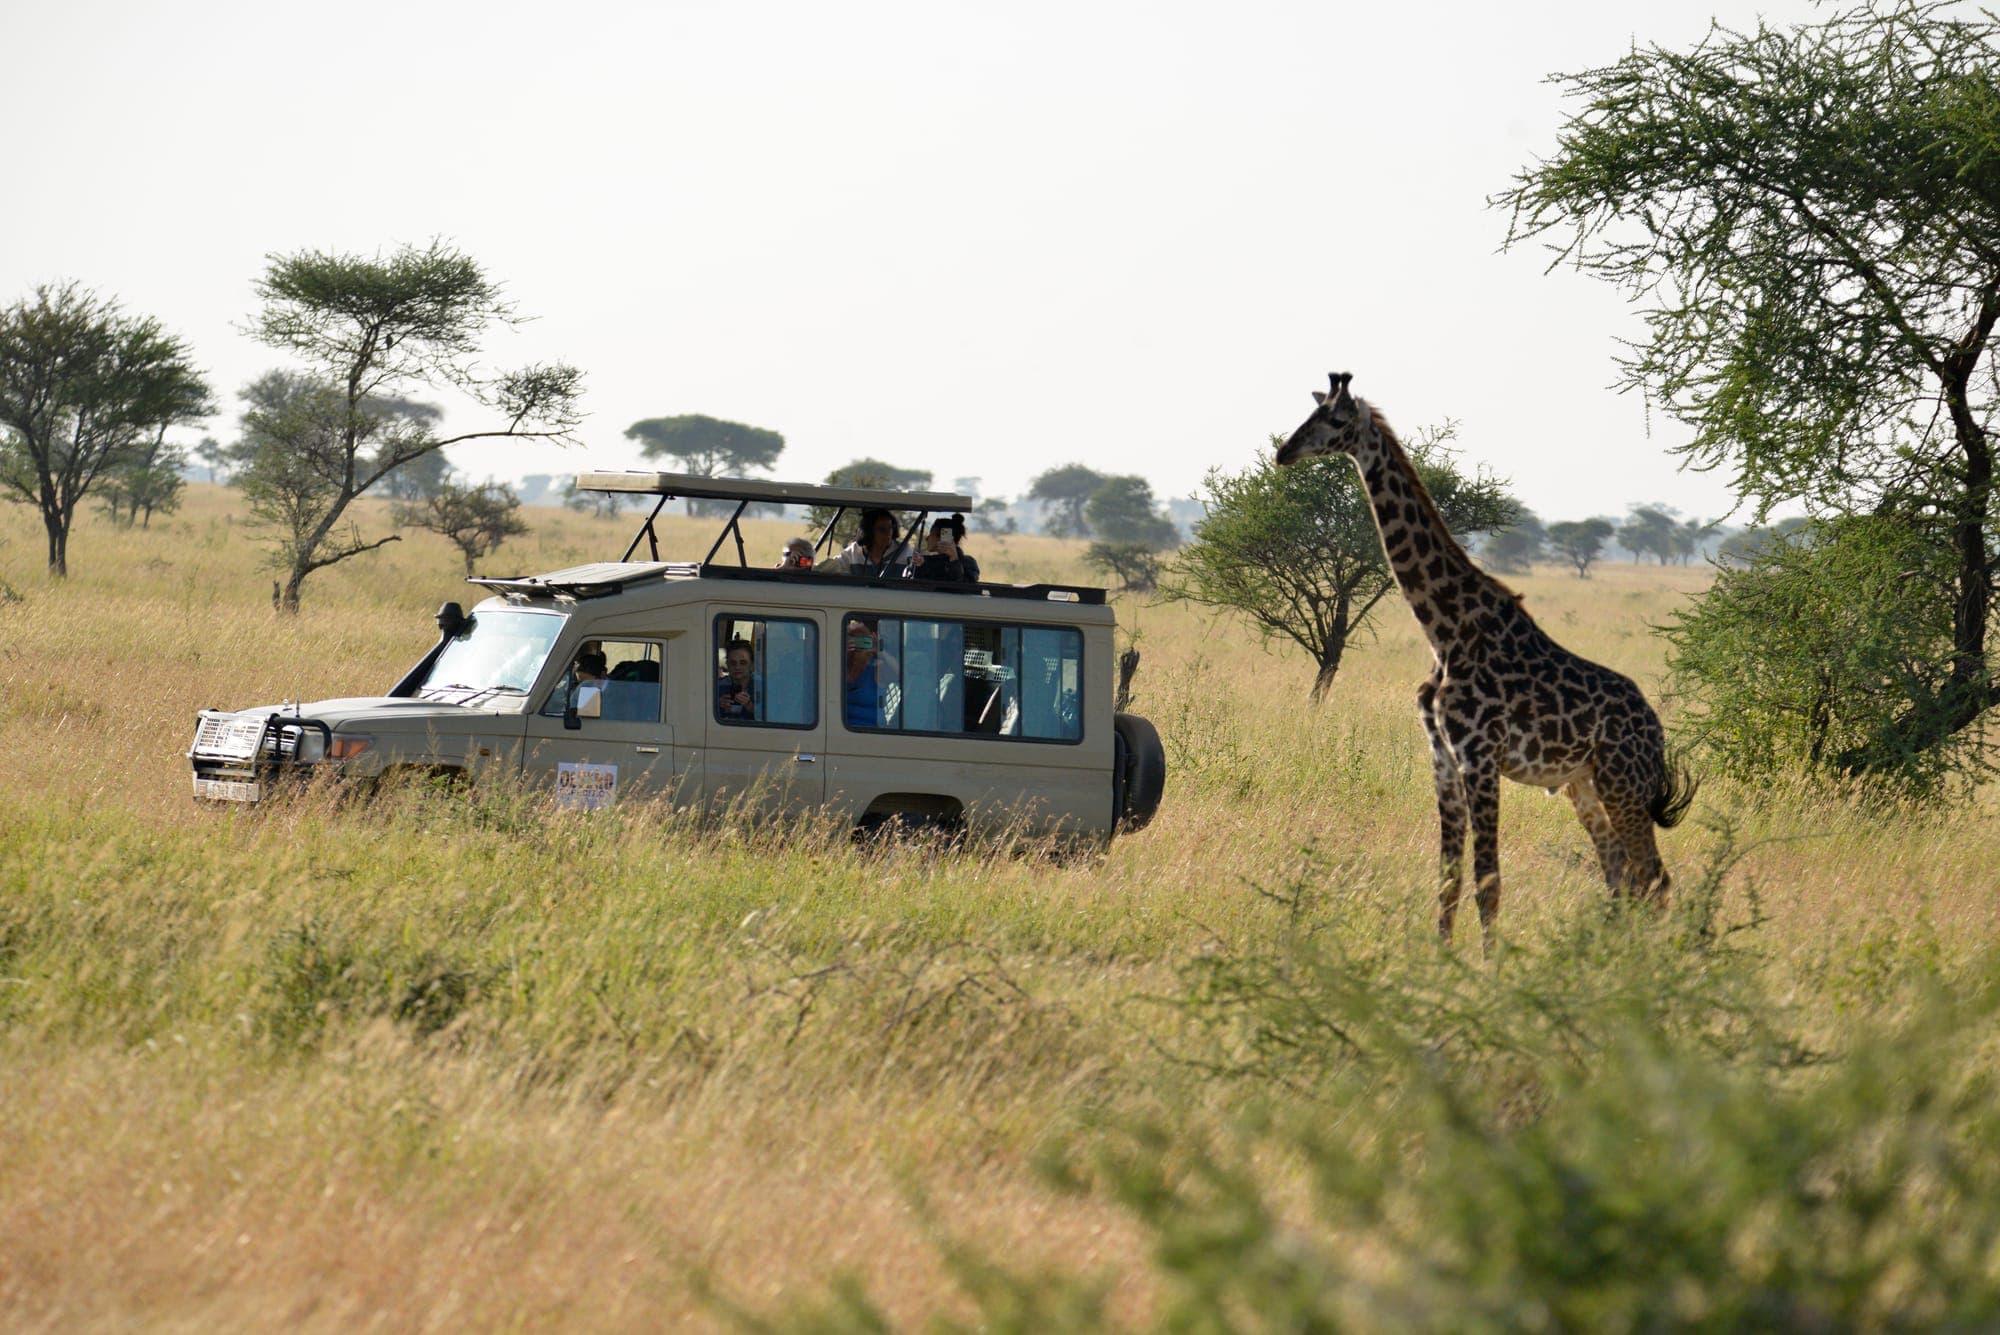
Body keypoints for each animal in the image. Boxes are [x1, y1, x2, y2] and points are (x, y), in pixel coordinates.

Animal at [1275, 372, 1696, 943]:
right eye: (1310, 415)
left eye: (1336, 420)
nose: (1284, 452)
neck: (1445, 631)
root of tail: (1656, 729)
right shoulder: (1443, 758)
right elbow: (1448, 879)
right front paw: (1442, 957)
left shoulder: (1480, 757)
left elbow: (1487, 883)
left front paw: (1487, 963)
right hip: (1582, 785)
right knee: (1621, 874)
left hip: (1623, 783)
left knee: (1654, 879)